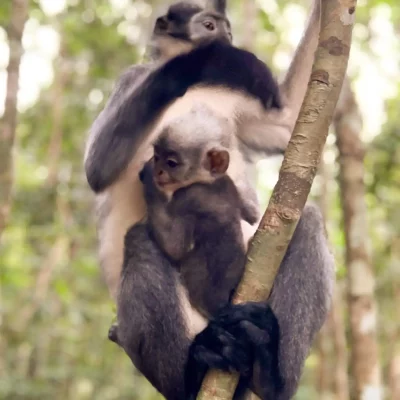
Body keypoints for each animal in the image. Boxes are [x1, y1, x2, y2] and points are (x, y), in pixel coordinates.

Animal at [84, 0, 334, 400]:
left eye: (226, 27)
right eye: (208, 25)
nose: (225, 37)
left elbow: (290, 124)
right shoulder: (133, 77)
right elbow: (97, 168)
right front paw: (197, 62)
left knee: (306, 220)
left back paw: (268, 374)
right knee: (138, 238)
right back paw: (192, 373)